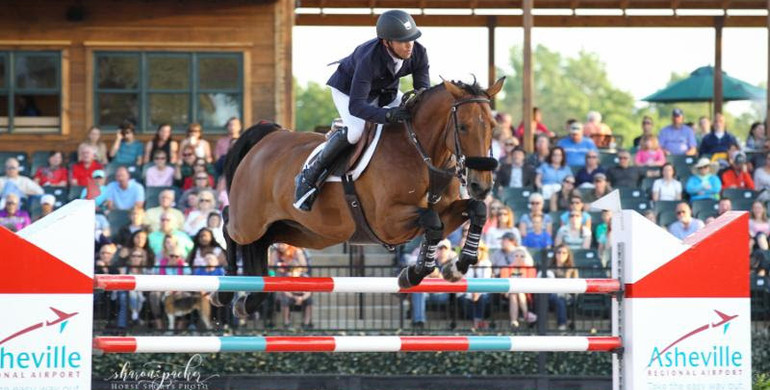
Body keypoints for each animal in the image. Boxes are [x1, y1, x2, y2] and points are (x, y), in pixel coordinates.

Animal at [213, 77, 508, 318]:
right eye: (463, 126)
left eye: (493, 126)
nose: (481, 185)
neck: (422, 152)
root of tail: (267, 137)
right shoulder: (386, 222)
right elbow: (431, 221)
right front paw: (413, 274)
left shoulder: (444, 211)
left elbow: (476, 211)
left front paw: (456, 267)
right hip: (249, 221)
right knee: (229, 226)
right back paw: (224, 291)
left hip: (302, 231)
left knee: (261, 244)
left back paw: (248, 301)